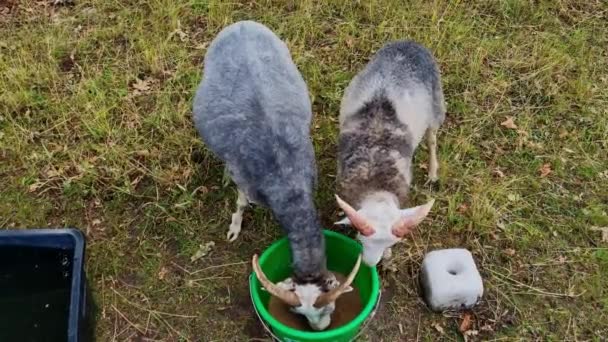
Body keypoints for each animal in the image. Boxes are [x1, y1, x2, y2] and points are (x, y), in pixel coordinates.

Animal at [192, 20, 358, 330]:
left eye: (329, 306)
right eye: (299, 312)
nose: (320, 330)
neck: (286, 180)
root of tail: (242, 24)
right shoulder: (245, 179)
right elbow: (241, 203)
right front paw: (234, 228)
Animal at [334, 40, 444, 268]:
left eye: (391, 243)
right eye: (361, 239)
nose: (369, 264)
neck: (377, 189)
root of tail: (411, 43)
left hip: (437, 104)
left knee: (432, 140)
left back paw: (432, 174)